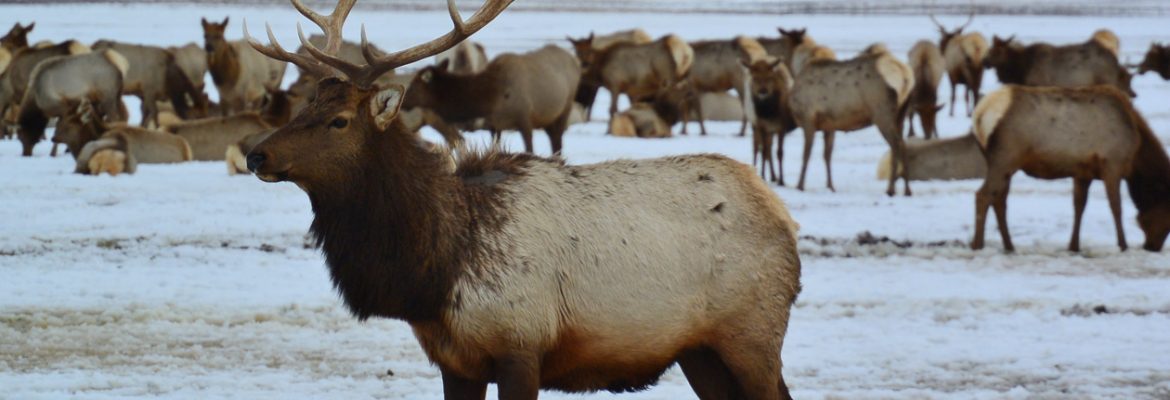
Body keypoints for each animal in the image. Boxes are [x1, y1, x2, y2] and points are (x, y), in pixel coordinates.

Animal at [243, 1, 803, 399]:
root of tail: (782, 215)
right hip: (700, 351)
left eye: (339, 121)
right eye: (305, 105)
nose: (255, 154)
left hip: (754, 333)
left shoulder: (522, 346)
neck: (434, 273)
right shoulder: (455, 362)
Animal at [789, 46, 915, 196]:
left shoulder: (808, 118)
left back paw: (890, 189)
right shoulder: (829, 125)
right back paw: (907, 190)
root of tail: (906, 76)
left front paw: (800, 186)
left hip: (882, 113)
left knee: (896, 145)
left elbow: (806, 154)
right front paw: (830, 186)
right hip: (901, 114)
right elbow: (827, 155)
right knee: (904, 145)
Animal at [971, 85, 1170, 253]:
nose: (1152, 247)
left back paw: (1009, 245)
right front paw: (1123, 245)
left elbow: (1079, 206)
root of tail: (980, 114)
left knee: (999, 200)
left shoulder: (1083, 171)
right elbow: (1116, 207)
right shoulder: (1112, 165)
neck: (1135, 155)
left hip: (1006, 164)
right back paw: (977, 244)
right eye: (1168, 220)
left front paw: (1074, 246)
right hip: (1004, 158)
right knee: (983, 195)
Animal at [984, 35, 1136, 98]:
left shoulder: (1039, 84)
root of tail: (1115, 63)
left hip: (1107, 82)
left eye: (998, 51)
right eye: (990, 49)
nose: (985, 61)